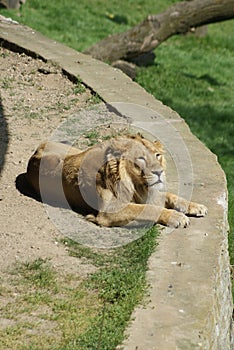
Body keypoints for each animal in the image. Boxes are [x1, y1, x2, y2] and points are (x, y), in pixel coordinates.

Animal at [25, 133, 207, 228]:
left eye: (157, 155)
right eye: (141, 158)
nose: (159, 172)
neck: (137, 185)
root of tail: (35, 153)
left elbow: (170, 196)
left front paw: (195, 206)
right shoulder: (109, 210)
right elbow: (147, 209)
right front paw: (177, 217)